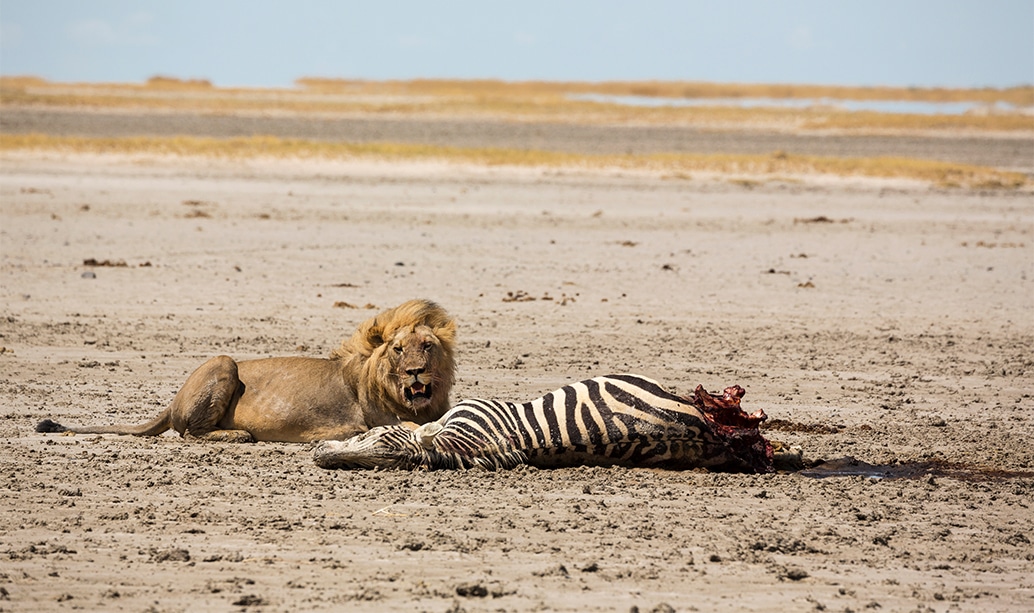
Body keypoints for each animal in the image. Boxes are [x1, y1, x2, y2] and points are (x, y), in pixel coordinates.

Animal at [36, 299, 457, 443]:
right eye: (398, 349)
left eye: (427, 346)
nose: (415, 372)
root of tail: (172, 400)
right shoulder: (374, 419)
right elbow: (409, 426)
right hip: (223, 362)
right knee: (189, 433)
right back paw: (238, 435)